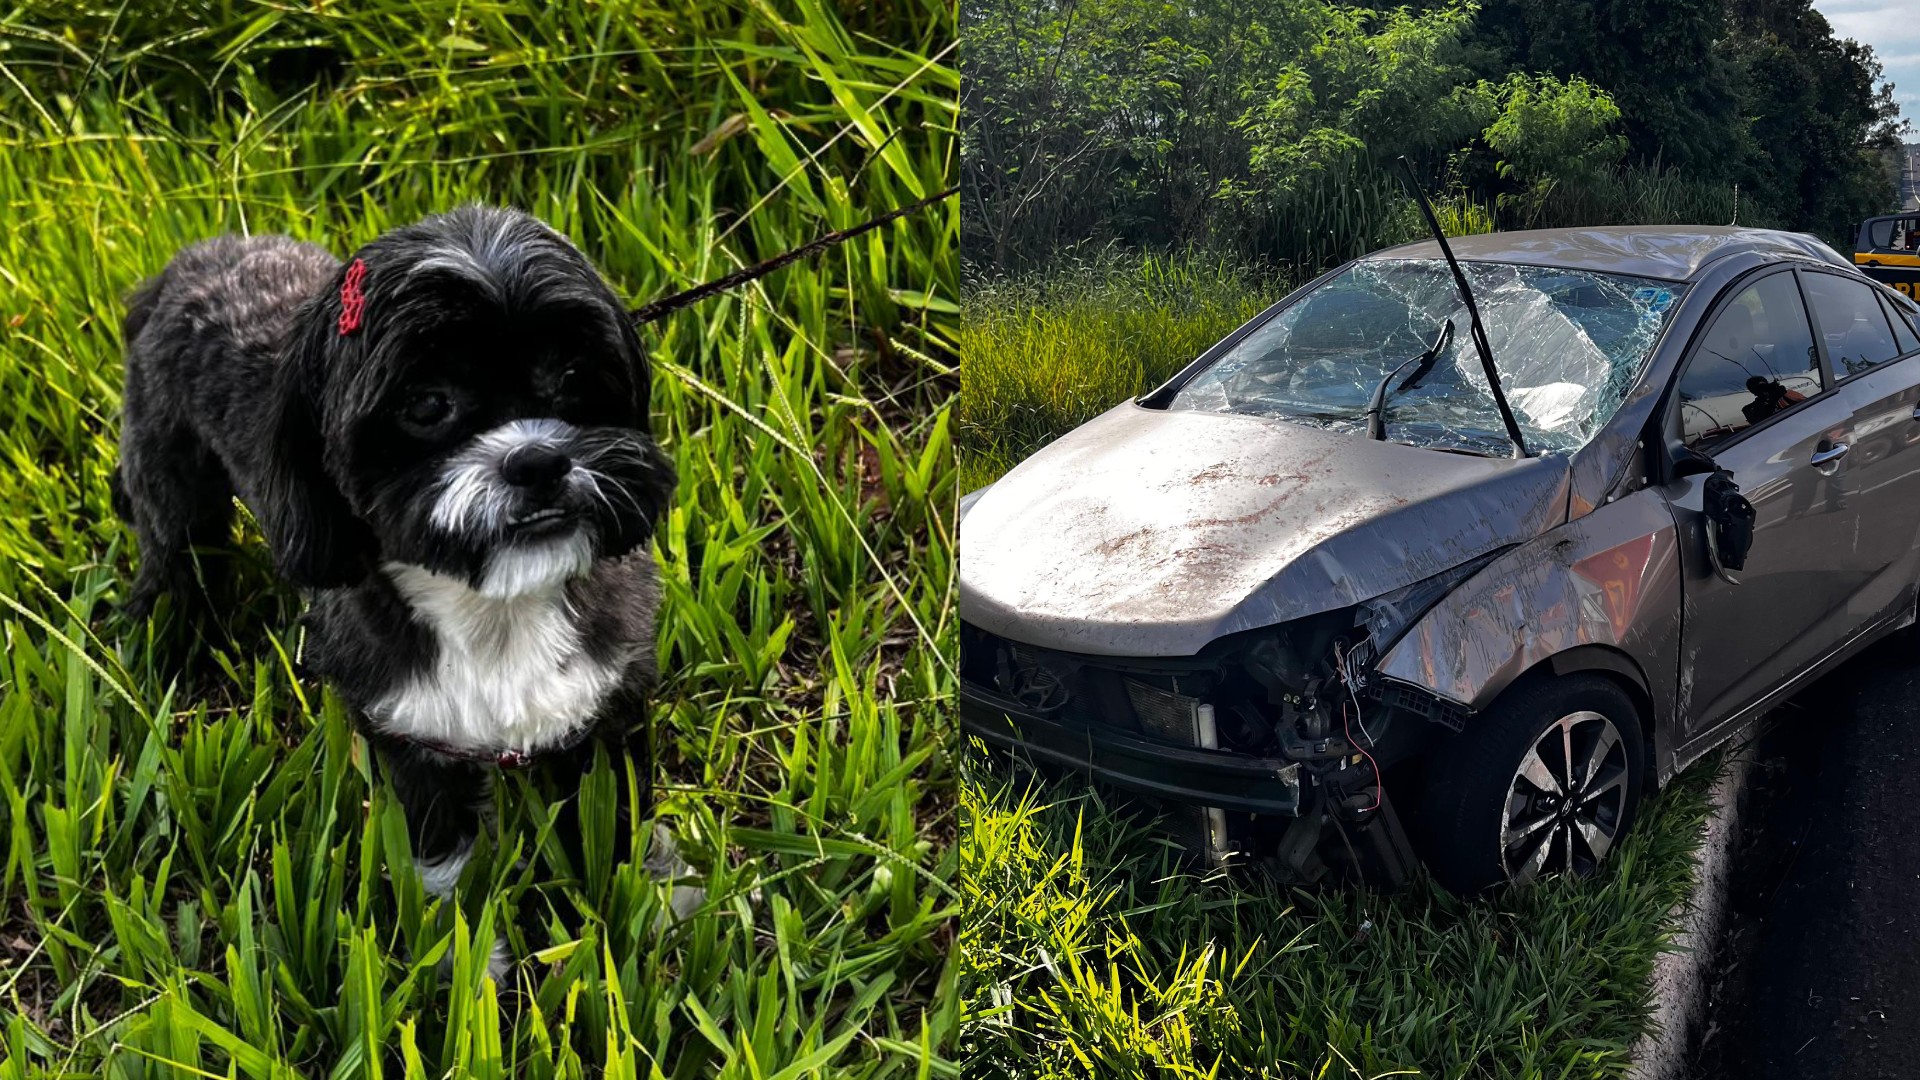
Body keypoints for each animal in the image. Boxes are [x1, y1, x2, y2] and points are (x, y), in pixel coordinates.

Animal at [112, 203, 691, 968]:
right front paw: (466, 955)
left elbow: (618, 820)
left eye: (572, 374)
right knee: (174, 562)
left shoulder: (607, 703)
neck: (497, 609)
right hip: (172, 485)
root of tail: (190, 261)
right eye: (426, 405)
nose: (537, 460)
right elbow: (444, 858)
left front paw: (650, 903)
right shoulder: (409, 739)